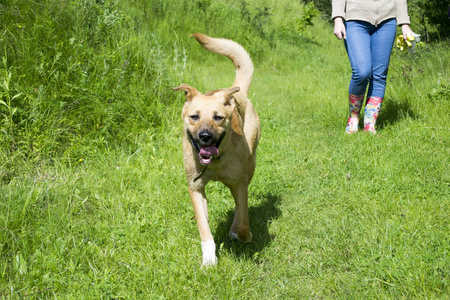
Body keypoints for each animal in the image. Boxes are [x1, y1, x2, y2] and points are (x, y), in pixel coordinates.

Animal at [172, 32, 260, 266]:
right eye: (194, 116)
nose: (205, 136)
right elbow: (204, 227)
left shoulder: (239, 183)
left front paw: (245, 236)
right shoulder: (195, 188)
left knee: (240, 207)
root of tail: (237, 93)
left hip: (250, 166)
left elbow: (244, 220)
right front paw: (209, 259)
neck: (216, 164)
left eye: (218, 117)